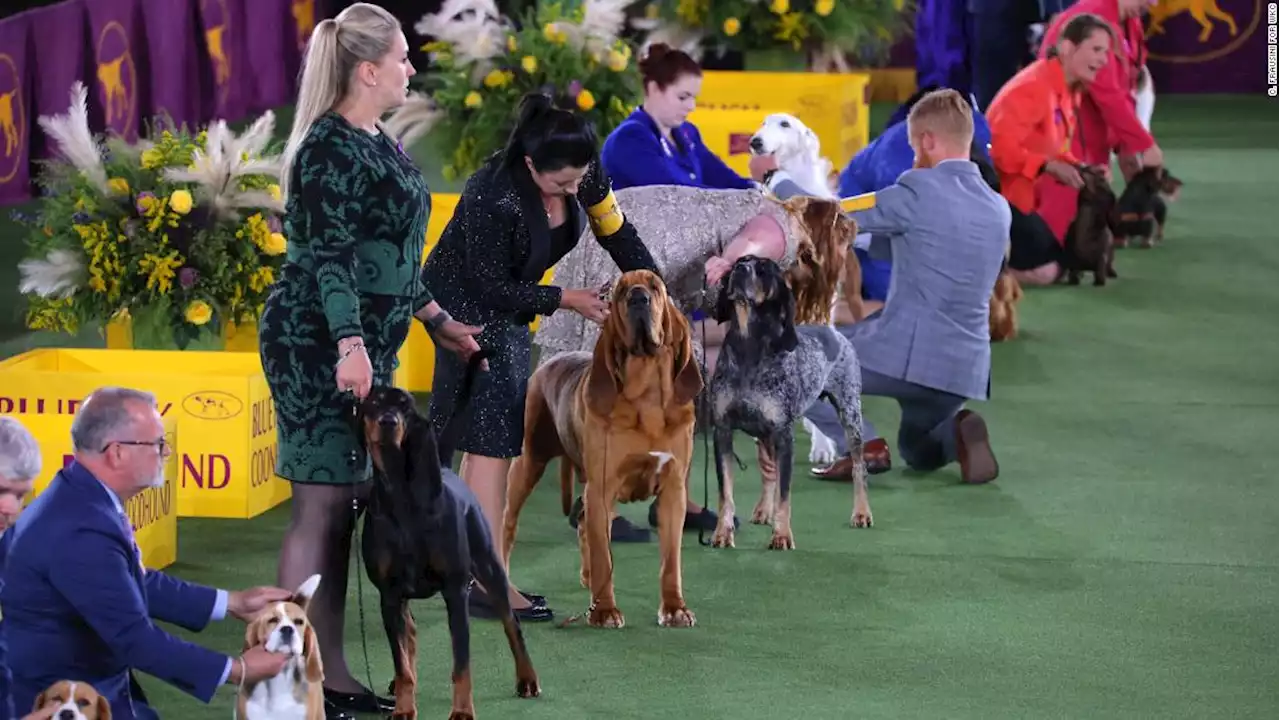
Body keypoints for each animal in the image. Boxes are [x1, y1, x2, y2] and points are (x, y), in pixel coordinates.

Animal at [501, 269, 701, 627]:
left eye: (655, 287)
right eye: (621, 291)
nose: (638, 298)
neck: (648, 397)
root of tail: (549, 362)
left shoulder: (673, 490)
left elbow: (670, 561)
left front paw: (674, 608)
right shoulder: (603, 488)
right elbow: (604, 556)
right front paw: (605, 610)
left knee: (582, 524)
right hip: (527, 466)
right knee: (508, 526)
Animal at [701, 254, 870, 545]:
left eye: (764, 269)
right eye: (739, 262)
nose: (739, 269)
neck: (748, 347)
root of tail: (834, 333)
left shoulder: (784, 435)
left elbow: (784, 493)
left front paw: (781, 536)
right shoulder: (722, 432)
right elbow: (726, 493)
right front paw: (722, 533)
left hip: (850, 414)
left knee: (859, 466)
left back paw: (861, 512)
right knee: (769, 470)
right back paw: (762, 510)